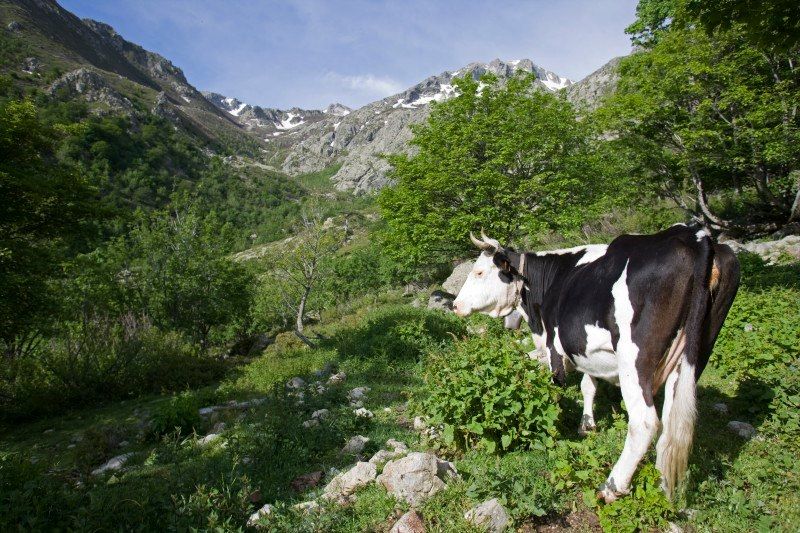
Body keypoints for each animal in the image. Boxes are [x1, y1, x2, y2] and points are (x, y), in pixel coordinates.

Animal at [454, 225, 740, 502]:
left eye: (479, 271)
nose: (456, 305)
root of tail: (696, 237)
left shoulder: (554, 346)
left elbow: (555, 390)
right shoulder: (586, 349)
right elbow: (588, 385)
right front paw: (587, 425)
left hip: (634, 359)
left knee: (645, 422)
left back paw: (613, 486)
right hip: (693, 355)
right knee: (672, 425)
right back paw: (662, 484)